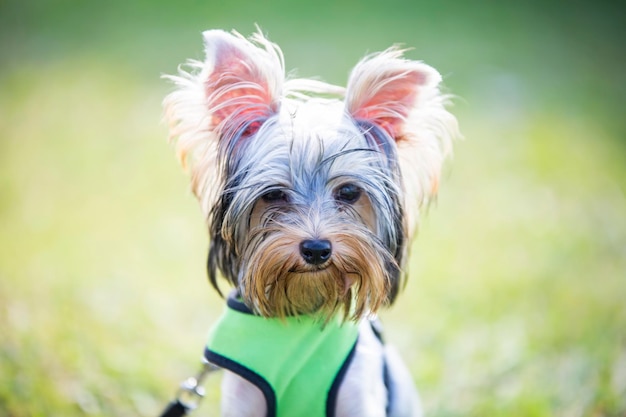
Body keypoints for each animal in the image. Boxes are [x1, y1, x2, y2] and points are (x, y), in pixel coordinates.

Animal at [161, 28, 454, 416]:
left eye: (348, 191)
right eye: (273, 194)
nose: (316, 249)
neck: (301, 306)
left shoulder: (360, 397)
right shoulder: (244, 400)